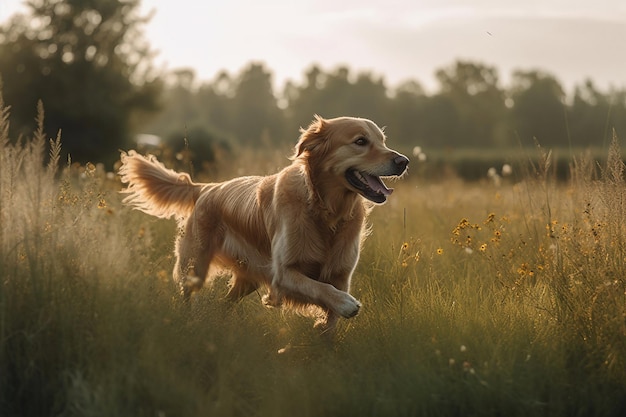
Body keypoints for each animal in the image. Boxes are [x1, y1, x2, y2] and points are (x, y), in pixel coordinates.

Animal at [119, 115, 408, 330]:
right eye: (360, 141)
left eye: (382, 141)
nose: (404, 161)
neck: (324, 211)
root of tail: (206, 188)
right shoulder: (283, 275)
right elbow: (319, 287)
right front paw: (347, 304)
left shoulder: (341, 276)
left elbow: (329, 321)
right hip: (195, 268)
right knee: (188, 295)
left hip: (246, 280)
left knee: (225, 303)